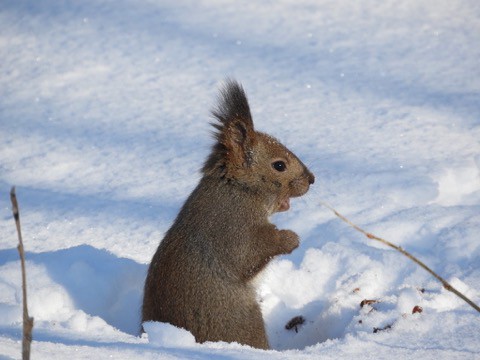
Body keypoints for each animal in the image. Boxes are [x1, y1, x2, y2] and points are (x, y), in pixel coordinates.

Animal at [142, 79, 316, 348]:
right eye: (279, 165)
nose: (311, 179)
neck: (238, 190)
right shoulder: (233, 227)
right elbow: (250, 252)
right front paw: (290, 239)